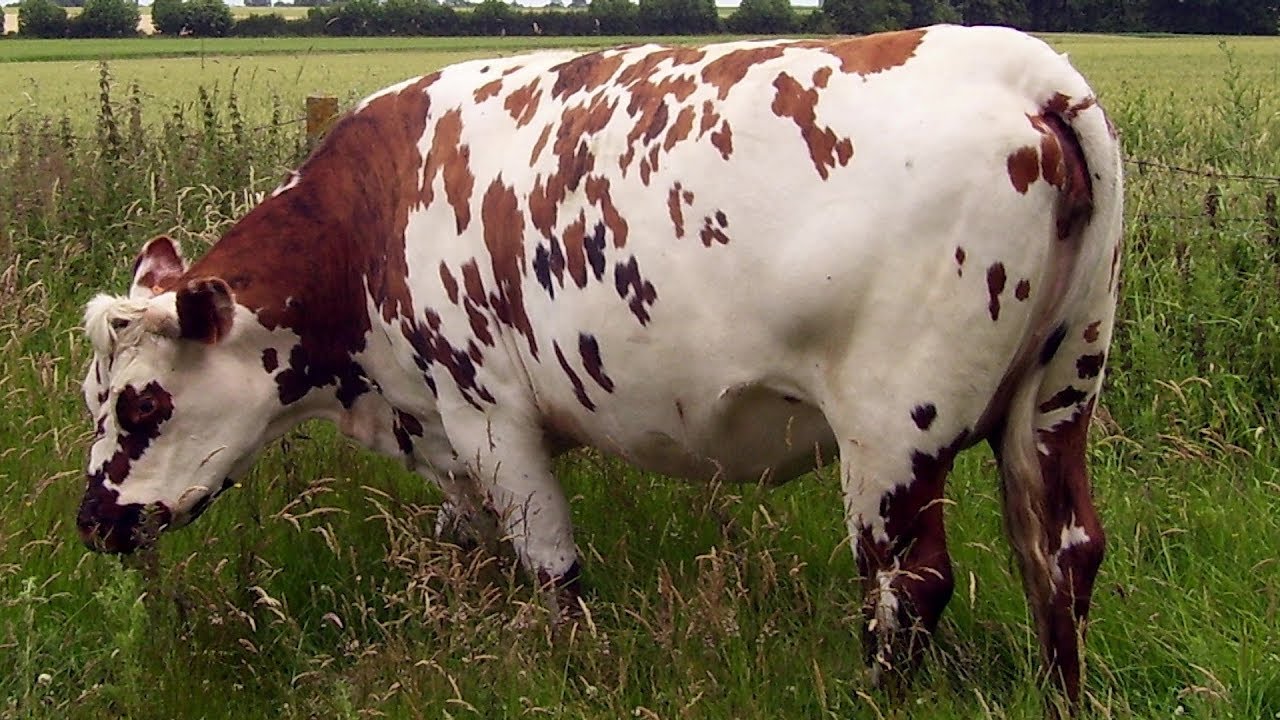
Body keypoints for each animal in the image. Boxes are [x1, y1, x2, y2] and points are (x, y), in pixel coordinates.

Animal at [76, 25, 1123, 705]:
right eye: (98, 397)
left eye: (142, 407)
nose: (93, 521)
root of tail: (1023, 69)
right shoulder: (446, 426)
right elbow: (464, 538)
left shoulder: (485, 408)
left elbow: (552, 567)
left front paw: (570, 665)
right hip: (1059, 395)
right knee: (1061, 555)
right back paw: (1059, 692)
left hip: (891, 430)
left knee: (911, 584)